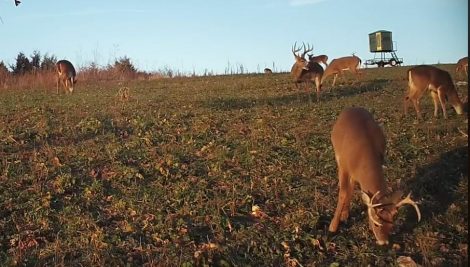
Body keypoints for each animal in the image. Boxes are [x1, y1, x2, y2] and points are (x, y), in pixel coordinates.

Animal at [328, 107, 420, 247]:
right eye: (377, 224)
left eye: (392, 224)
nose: (384, 242)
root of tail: (351, 108)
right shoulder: (343, 166)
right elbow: (342, 193)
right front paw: (333, 227)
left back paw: (345, 213)